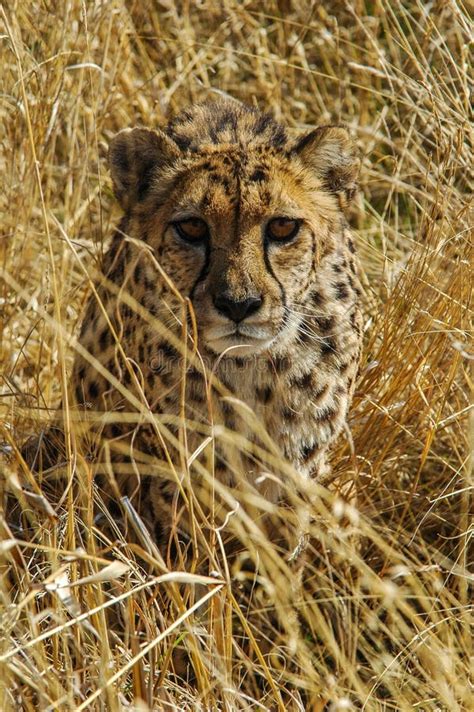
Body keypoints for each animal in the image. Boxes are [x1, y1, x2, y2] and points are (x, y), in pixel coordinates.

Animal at [70, 97, 362, 548]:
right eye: (191, 227)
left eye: (283, 226)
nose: (238, 304)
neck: (250, 370)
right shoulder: (182, 464)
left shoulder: (298, 466)